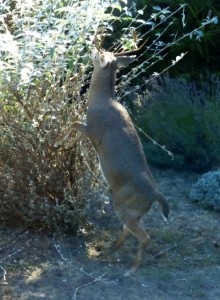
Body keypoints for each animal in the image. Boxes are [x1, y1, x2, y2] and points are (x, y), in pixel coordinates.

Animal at [54, 35, 169, 276]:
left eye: (100, 53)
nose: (92, 46)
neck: (101, 100)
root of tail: (155, 194)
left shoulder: (93, 129)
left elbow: (74, 122)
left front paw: (58, 143)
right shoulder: (90, 130)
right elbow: (76, 129)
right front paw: (67, 146)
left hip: (123, 205)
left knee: (144, 236)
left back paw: (132, 269)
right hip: (132, 210)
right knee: (129, 230)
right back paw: (106, 252)